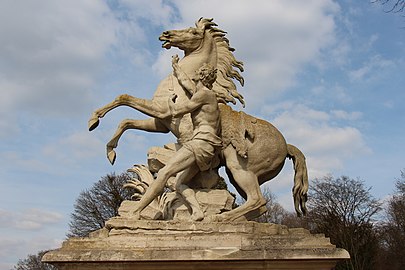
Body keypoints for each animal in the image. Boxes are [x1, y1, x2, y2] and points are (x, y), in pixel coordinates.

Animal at [88, 17, 308, 221]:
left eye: (193, 32)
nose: (166, 34)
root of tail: (287, 146)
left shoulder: (163, 111)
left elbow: (124, 98)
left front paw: (94, 120)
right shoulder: (160, 122)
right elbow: (126, 120)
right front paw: (110, 150)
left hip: (238, 167)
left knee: (257, 199)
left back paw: (219, 218)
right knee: (258, 205)